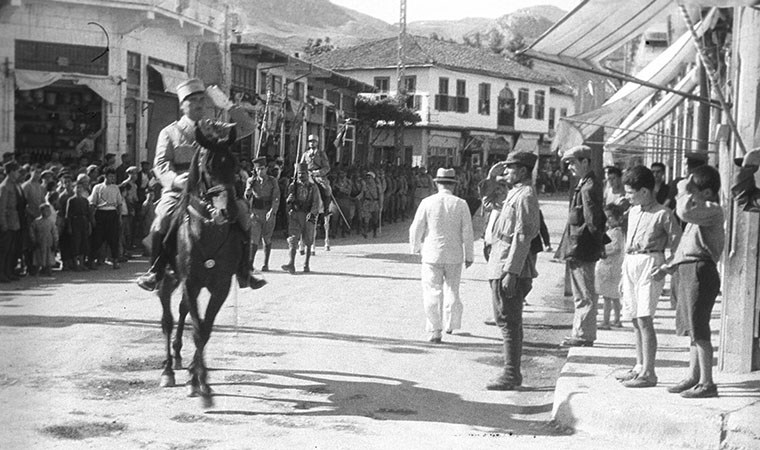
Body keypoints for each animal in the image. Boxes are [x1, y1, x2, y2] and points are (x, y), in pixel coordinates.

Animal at [152, 120, 240, 408]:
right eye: (209, 167)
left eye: (234, 164)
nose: (228, 212)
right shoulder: (190, 282)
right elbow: (198, 328)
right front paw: (200, 385)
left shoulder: (220, 286)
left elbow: (205, 329)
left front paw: (197, 378)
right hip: (166, 279)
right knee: (167, 320)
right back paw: (168, 369)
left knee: (181, 313)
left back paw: (180, 358)